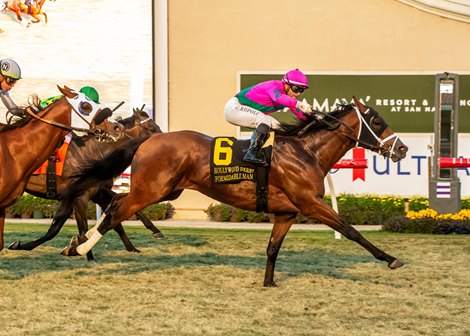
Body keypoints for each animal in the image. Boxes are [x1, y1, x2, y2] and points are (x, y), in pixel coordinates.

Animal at [7, 109, 165, 262]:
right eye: (151, 128)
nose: (164, 142)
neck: (94, 152)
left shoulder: (91, 193)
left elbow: (54, 230)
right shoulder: (81, 196)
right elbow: (83, 229)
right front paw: (86, 255)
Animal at [60, 96, 410, 286]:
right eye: (377, 122)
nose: (403, 149)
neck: (306, 151)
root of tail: (148, 139)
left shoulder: (287, 212)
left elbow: (272, 248)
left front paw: (269, 282)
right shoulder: (310, 204)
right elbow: (351, 231)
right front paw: (390, 258)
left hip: (163, 191)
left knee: (115, 203)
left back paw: (76, 243)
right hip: (152, 191)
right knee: (116, 210)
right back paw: (80, 246)